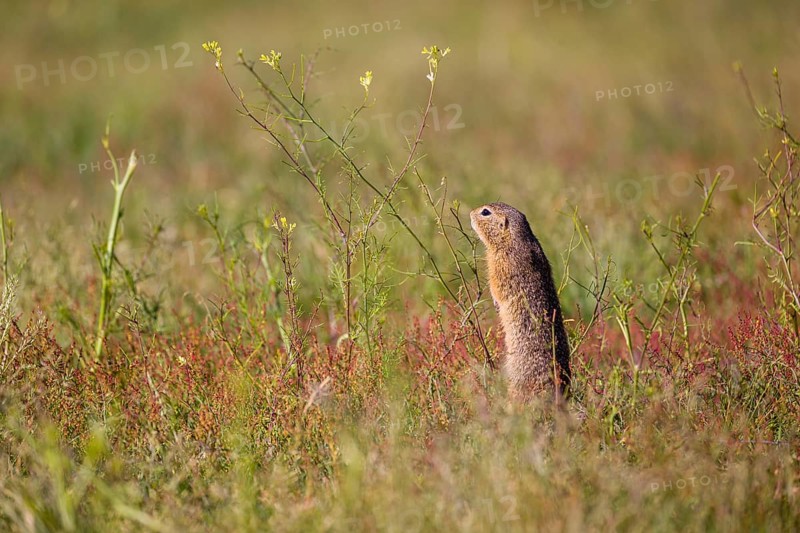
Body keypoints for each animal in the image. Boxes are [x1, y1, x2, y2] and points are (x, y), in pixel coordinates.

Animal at [470, 202, 571, 402]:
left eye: (485, 212)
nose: (470, 213)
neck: (515, 239)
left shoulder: (501, 267)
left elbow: (498, 288)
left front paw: (495, 301)